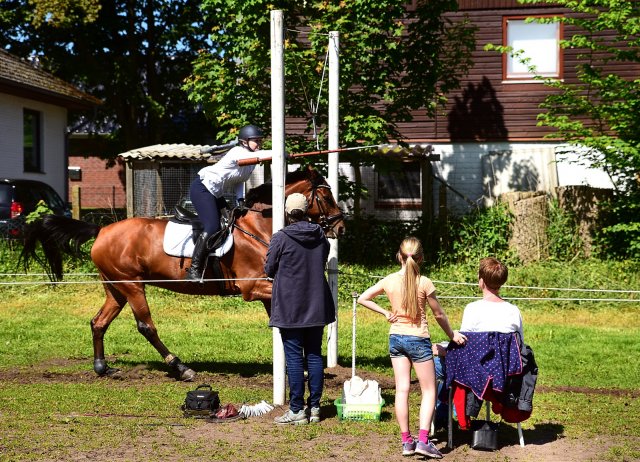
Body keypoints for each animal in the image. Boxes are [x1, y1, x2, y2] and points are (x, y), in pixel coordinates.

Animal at [21, 166, 344, 378]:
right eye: (327, 197)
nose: (340, 226)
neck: (257, 227)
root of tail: (101, 231)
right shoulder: (251, 287)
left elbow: (280, 322)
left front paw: (299, 365)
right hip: (132, 285)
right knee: (146, 326)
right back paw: (181, 367)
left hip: (115, 287)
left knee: (99, 322)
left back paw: (102, 367)